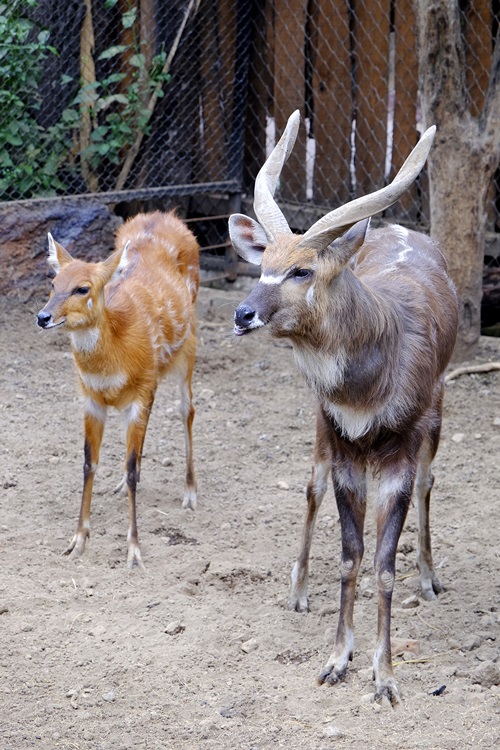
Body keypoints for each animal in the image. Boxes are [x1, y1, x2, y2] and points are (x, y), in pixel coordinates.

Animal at [37, 212, 199, 568]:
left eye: (82, 288)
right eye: (53, 284)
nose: (42, 317)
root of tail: (167, 215)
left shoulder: (141, 391)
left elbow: (132, 465)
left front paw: (134, 550)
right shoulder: (91, 398)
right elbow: (89, 462)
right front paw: (77, 540)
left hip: (189, 347)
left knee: (187, 410)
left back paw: (190, 493)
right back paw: (120, 486)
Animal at [229, 111, 458, 704]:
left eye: (302, 271)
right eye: (264, 264)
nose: (242, 314)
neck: (366, 390)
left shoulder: (401, 448)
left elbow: (384, 565)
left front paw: (385, 678)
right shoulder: (342, 442)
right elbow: (350, 556)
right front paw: (336, 659)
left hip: (437, 412)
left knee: (430, 482)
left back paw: (430, 578)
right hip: (320, 429)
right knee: (310, 487)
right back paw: (297, 589)